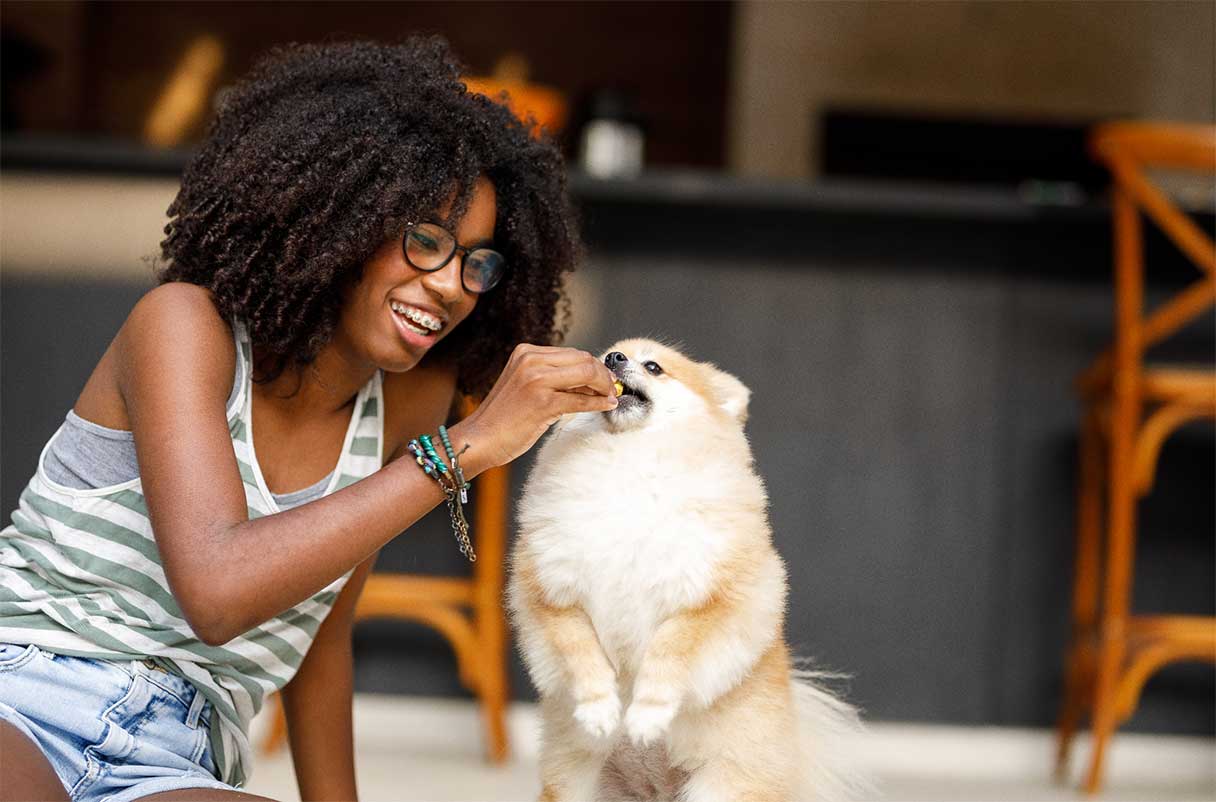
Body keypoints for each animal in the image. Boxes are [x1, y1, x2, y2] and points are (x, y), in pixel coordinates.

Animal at [508, 340, 870, 802]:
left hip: (722, 786)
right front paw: (599, 710)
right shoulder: (555, 595)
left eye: (653, 366)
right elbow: (580, 653)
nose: (613, 360)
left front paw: (646, 716)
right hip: (577, 786)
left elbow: (668, 653)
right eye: (607, 355)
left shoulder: (706, 599)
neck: (627, 462)